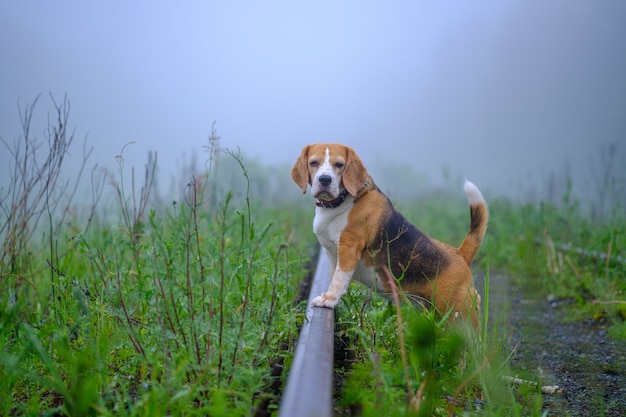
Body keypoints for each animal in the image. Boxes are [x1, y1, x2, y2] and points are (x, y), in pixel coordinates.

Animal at [288, 143, 488, 324]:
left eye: (339, 164)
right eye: (314, 163)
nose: (325, 179)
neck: (342, 202)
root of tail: (459, 254)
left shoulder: (349, 248)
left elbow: (338, 278)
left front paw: (329, 299)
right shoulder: (331, 254)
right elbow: (332, 275)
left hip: (459, 316)